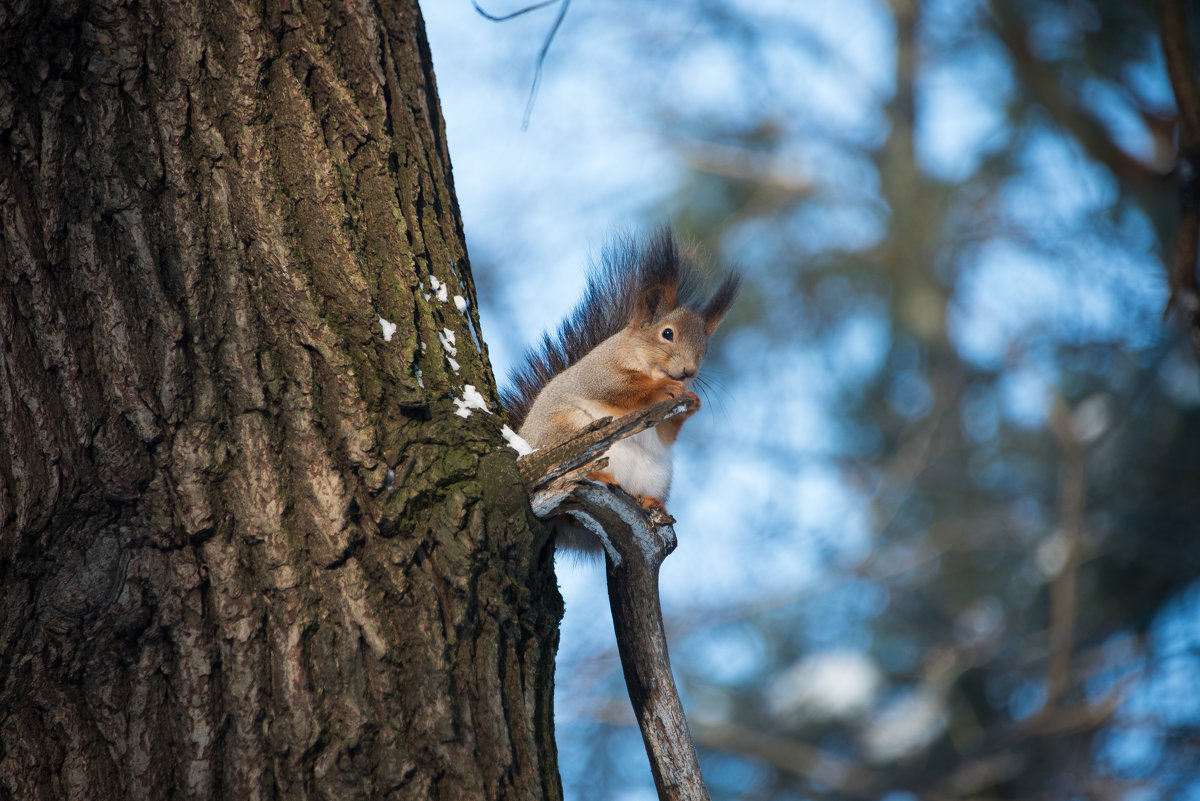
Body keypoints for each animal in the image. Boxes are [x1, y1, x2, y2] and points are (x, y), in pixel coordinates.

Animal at [499, 227, 739, 553]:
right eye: (667, 334)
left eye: (705, 349)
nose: (690, 372)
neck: (638, 357)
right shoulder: (600, 372)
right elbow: (624, 388)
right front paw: (666, 386)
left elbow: (667, 431)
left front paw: (692, 400)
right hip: (566, 435)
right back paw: (598, 473)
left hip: (657, 476)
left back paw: (650, 502)